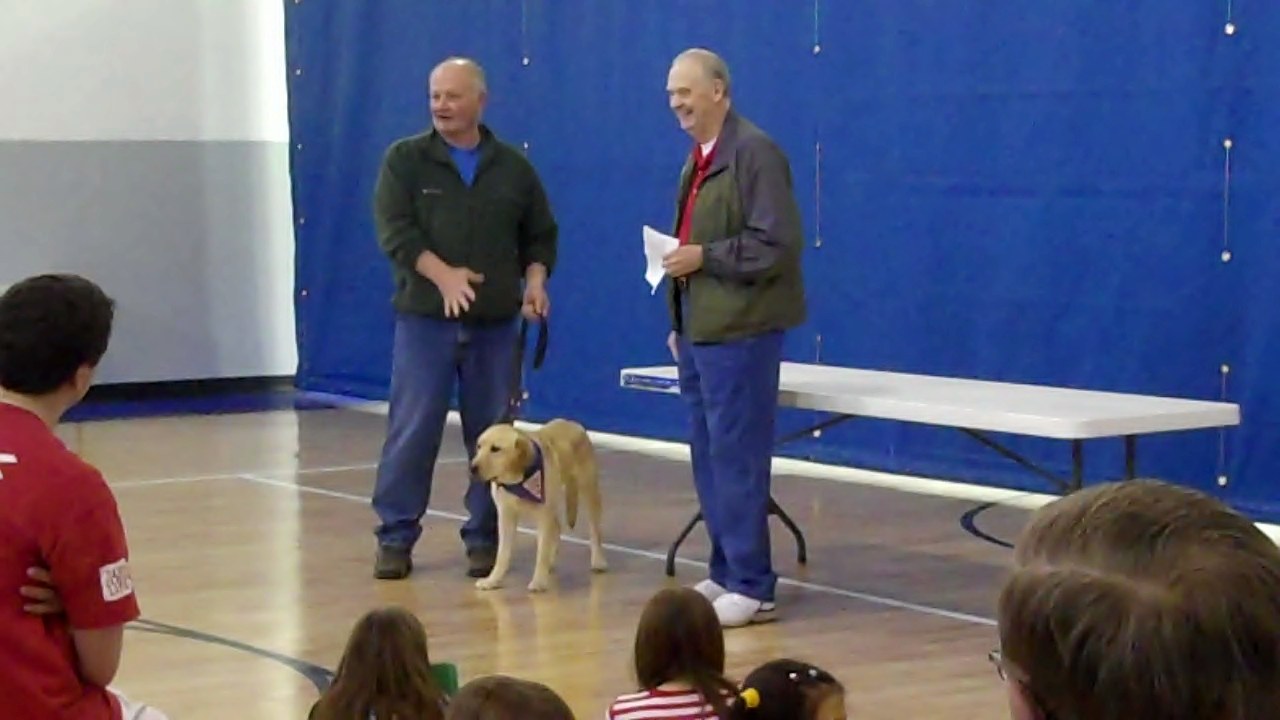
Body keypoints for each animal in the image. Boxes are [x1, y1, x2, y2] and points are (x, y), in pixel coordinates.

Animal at [471, 415, 609, 589]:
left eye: (496, 449)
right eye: (479, 446)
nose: (472, 467)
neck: (517, 479)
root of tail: (572, 423)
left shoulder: (543, 516)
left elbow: (541, 553)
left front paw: (538, 581)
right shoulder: (506, 516)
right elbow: (502, 554)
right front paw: (493, 580)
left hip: (589, 491)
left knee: (595, 531)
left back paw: (598, 561)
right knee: (557, 527)